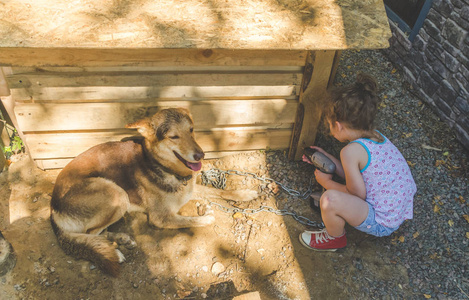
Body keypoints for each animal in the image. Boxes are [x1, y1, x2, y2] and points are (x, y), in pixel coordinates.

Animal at [49, 108, 258, 276]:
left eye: (191, 130)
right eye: (173, 137)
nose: (201, 155)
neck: (163, 167)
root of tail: (53, 209)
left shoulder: (190, 190)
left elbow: (218, 191)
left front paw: (245, 194)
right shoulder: (161, 218)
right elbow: (191, 220)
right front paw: (206, 217)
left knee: (97, 233)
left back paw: (122, 239)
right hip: (116, 193)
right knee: (91, 233)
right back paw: (115, 247)